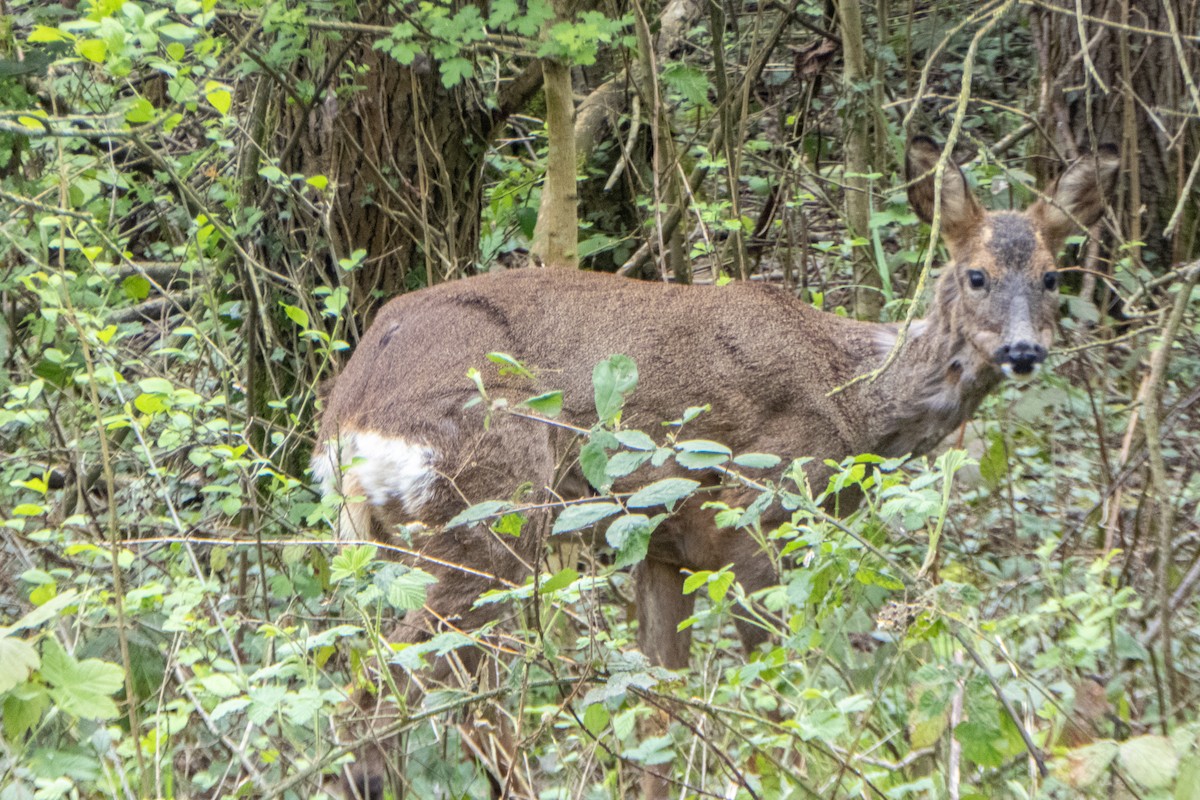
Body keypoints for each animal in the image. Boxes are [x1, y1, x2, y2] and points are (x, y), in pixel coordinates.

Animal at [312, 136, 1119, 799]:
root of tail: (349, 421)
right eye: (976, 275)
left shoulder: (663, 548)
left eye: (1053, 277)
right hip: (491, 509)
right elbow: (778, 698)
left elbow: (660, 719)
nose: (1023, 351)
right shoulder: (757, 518)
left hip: (405, 538)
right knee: (384, 699)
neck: (851, 399)